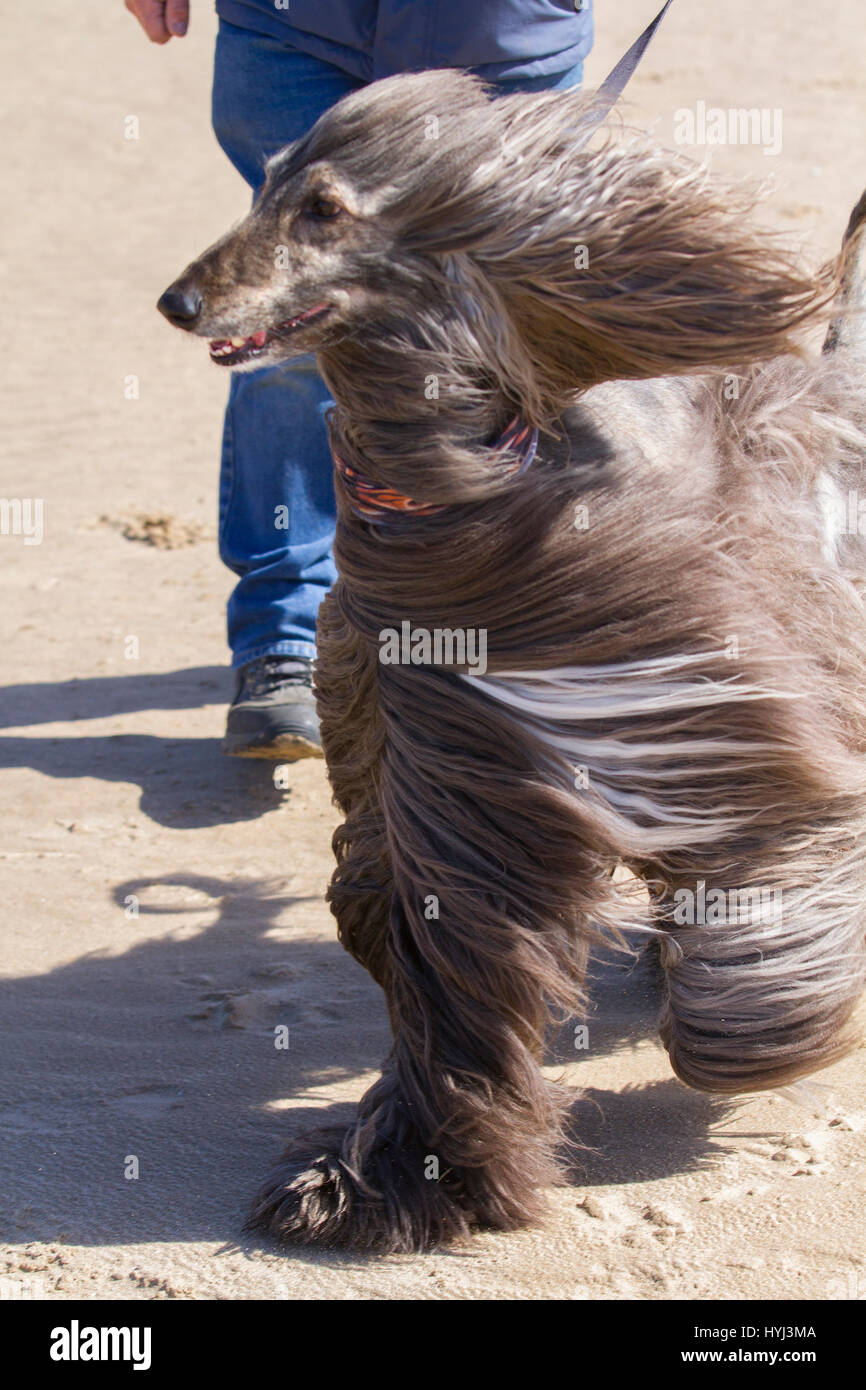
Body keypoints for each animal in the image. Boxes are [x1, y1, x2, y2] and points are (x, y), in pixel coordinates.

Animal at [159, 70, 866, 1256]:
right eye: (261, 187)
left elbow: (740, 975)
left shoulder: (723, 721)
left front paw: (780, 1025)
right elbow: (431, 943)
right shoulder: (442, 771)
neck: (467, 493)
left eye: (324, 210)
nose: (178, 302)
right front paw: (400, 1174)